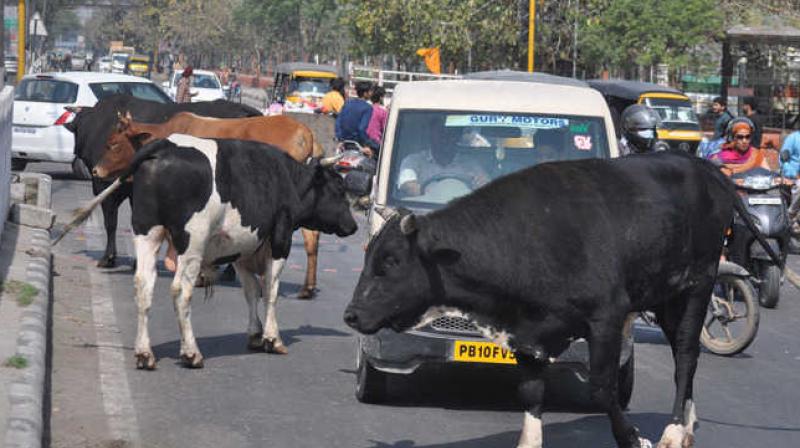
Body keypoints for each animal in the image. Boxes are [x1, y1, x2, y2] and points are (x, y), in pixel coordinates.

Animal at [64, 135, 358, 370]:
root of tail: (166, 144)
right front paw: (272, 338)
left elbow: (251, 291)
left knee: (143, 286)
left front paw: (254, 333)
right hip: (192, 243)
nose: (353, 226)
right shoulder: (279, 239)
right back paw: (191, 353)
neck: (286, 179)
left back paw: (145, 354)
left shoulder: (243, 248)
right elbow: (270, 291)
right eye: (339, 189)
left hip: (147, 232)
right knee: (180, 291)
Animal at [342, 151, 776, 448]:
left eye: (390, 262)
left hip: (697, 286)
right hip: (666, 297)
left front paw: (632, 437)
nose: (352, 314)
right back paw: (685, 425)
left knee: (686, 356)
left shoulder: (607, 317)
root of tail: (702, 166)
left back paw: (671, 431)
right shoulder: (525, 331)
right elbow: (532, 392)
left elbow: (603, 388)